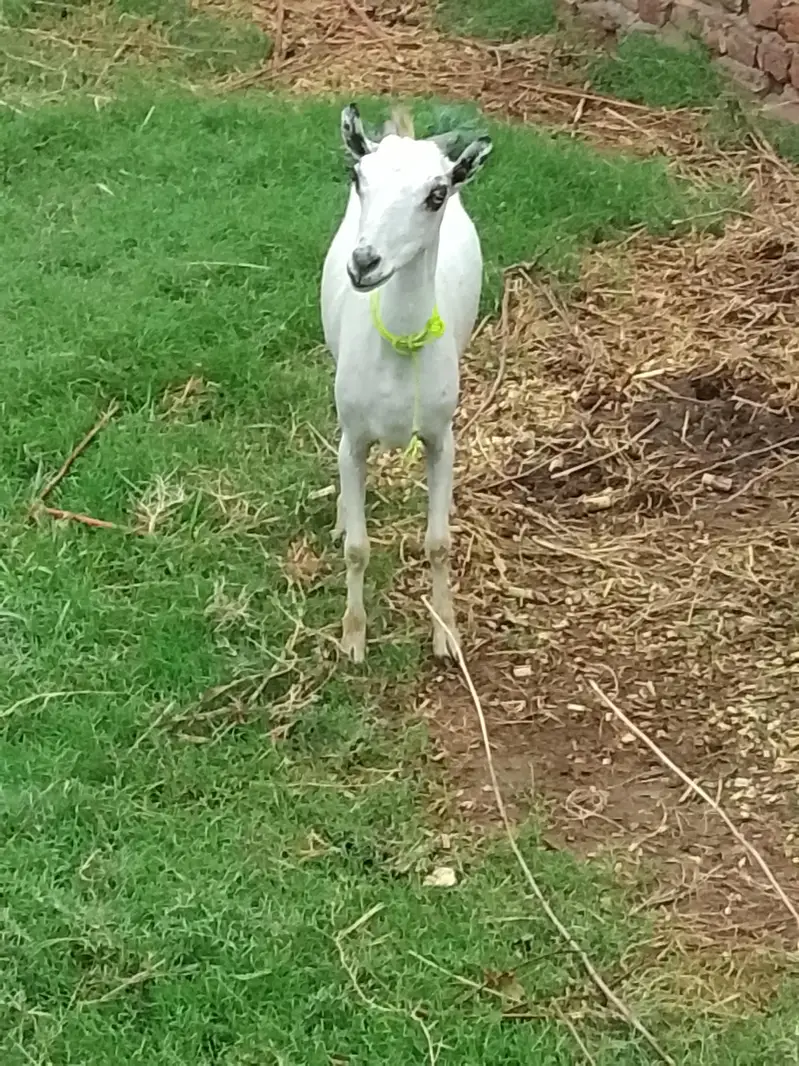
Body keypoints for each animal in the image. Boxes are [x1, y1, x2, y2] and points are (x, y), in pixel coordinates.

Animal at [321, 103, 492, 662]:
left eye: (436, 194)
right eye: (358, 176)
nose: (364, 262)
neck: (398, 349)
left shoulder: (442, 437)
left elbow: (439, 543)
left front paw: (447, 634)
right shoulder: (353, 437)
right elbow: (356, 548)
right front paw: (353, 638)